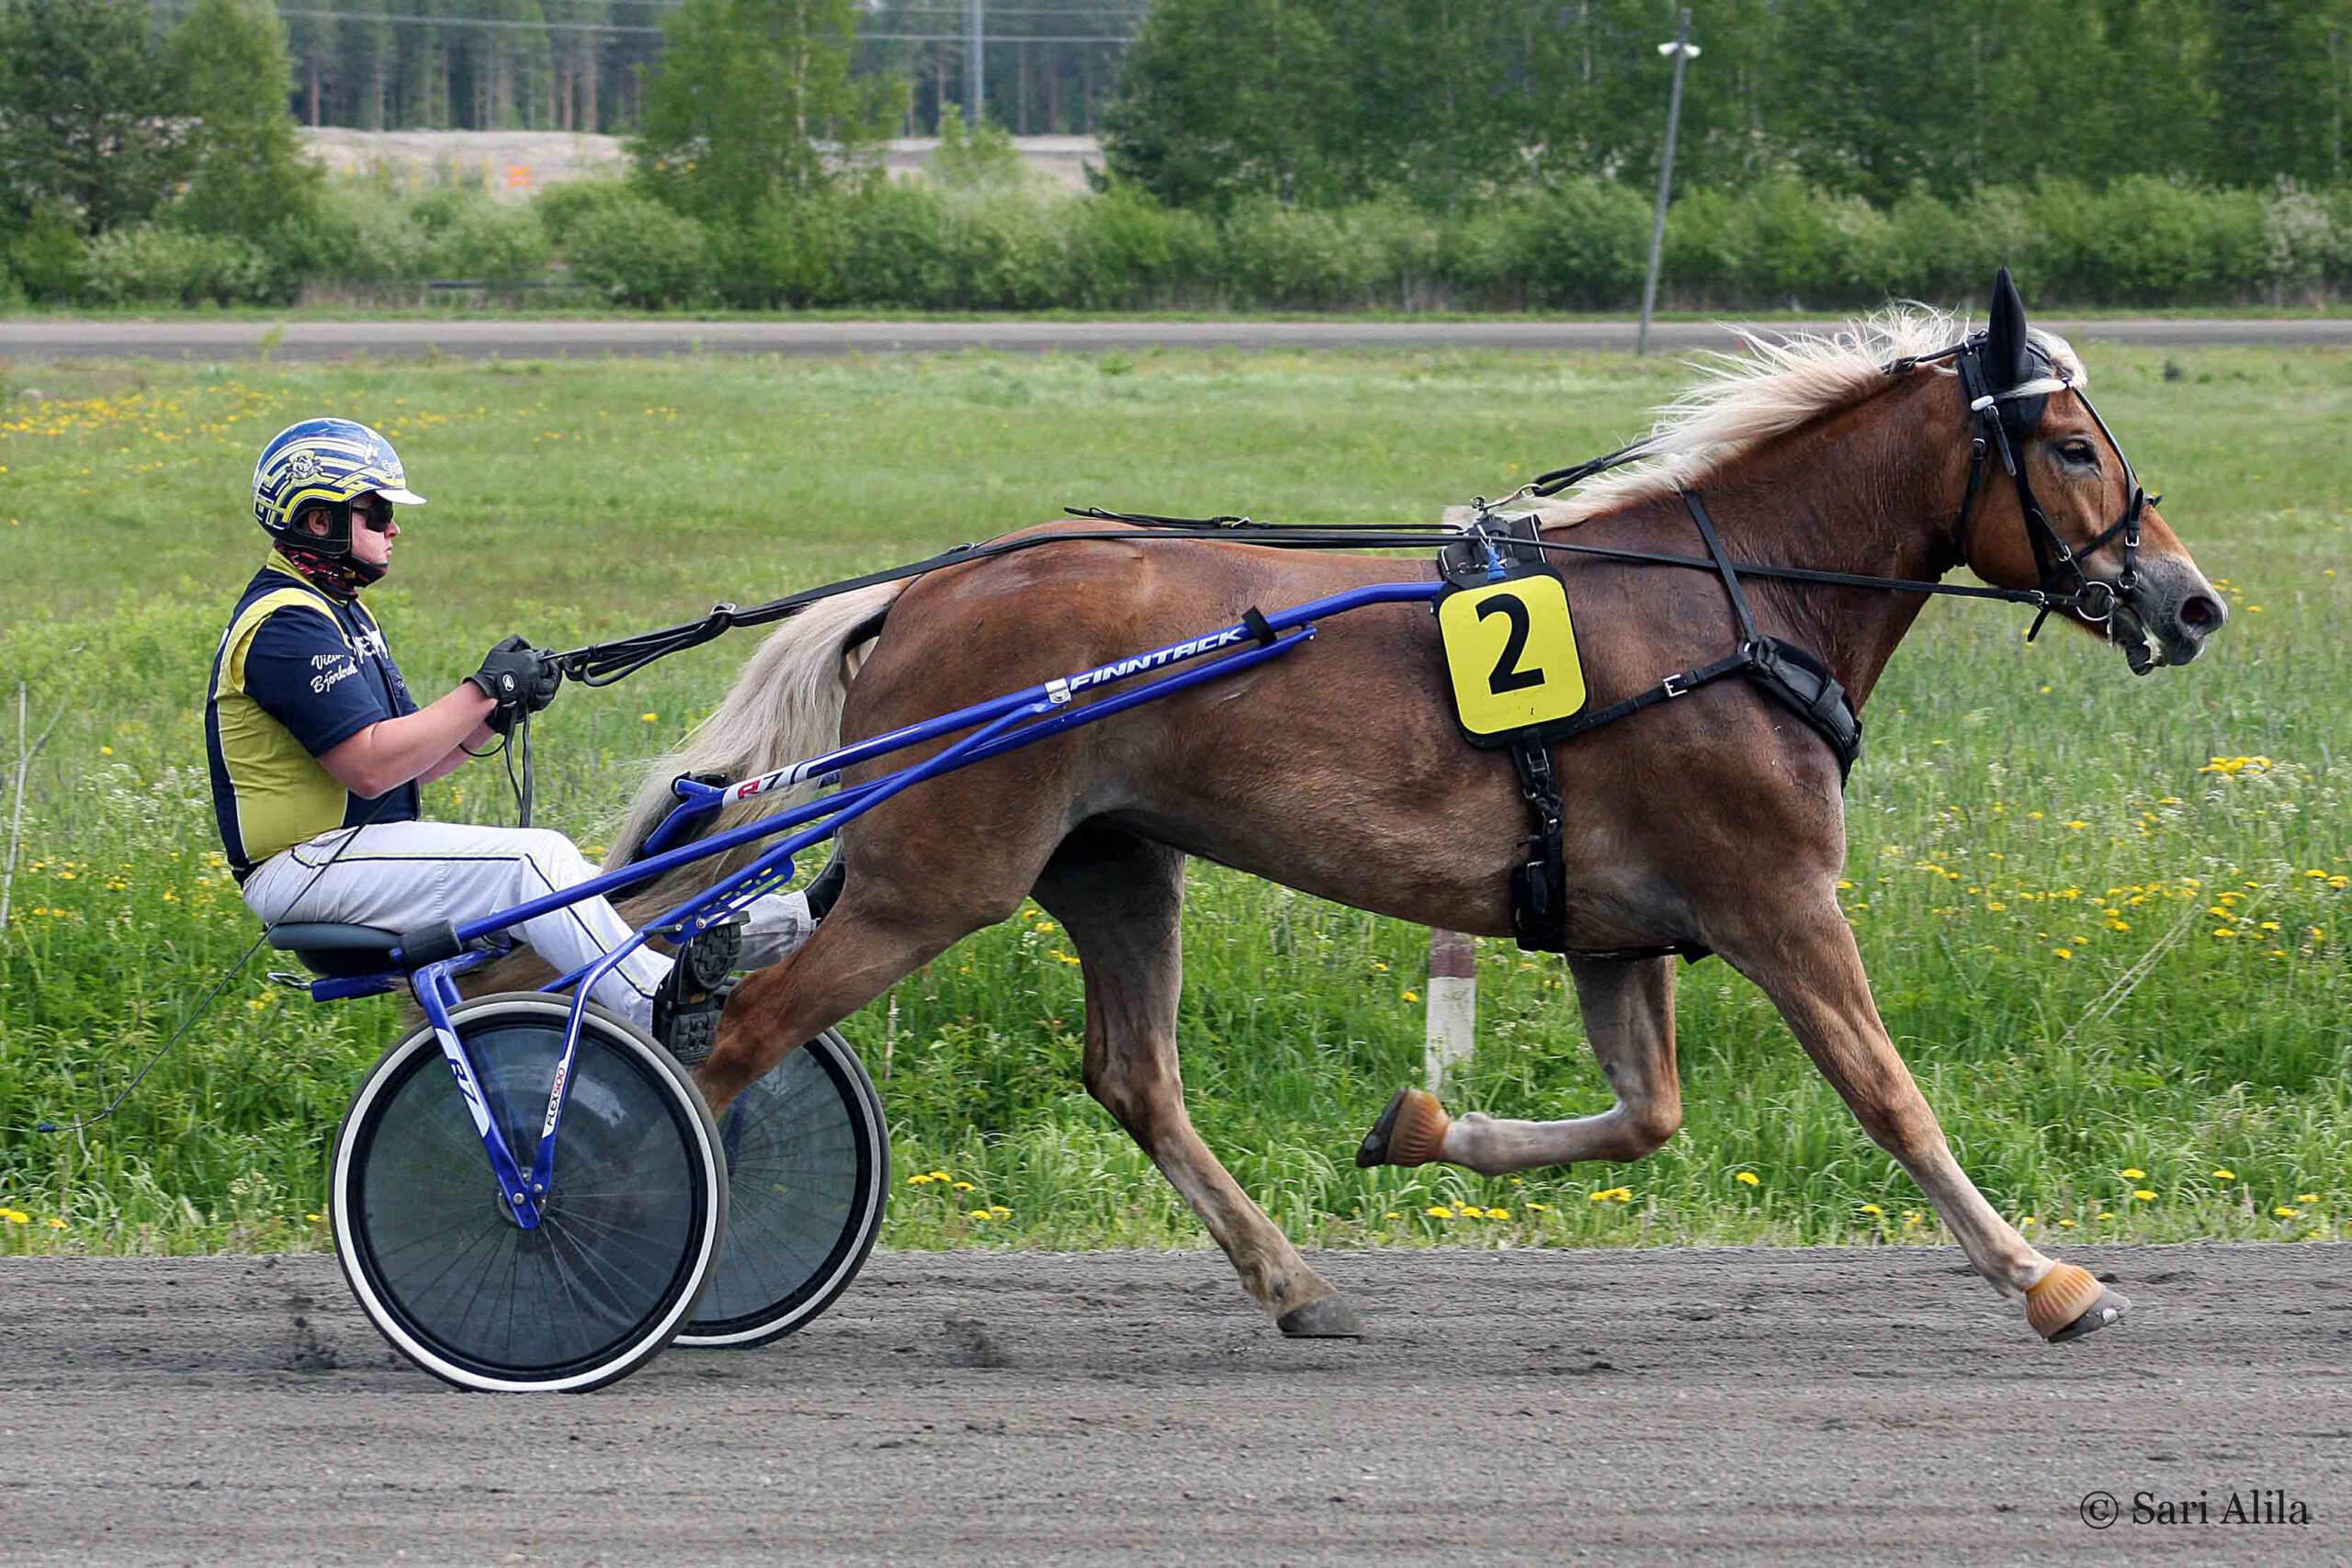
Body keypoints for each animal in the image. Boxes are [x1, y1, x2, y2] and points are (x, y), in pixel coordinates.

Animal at [584, 282, 2225, 1344]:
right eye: (2073, 447)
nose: (2189, 598)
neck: (1729, 608)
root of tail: (928, 590)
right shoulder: (1777, 899)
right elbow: (1891, 1095)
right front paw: (2045, 1276)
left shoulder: (1615, 930)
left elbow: (1646, 1114)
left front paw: (1419, 1121)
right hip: (939, 876)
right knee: (734, 1033)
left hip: (1116, 868)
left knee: (1134, 1076)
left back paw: (1293, 1280)